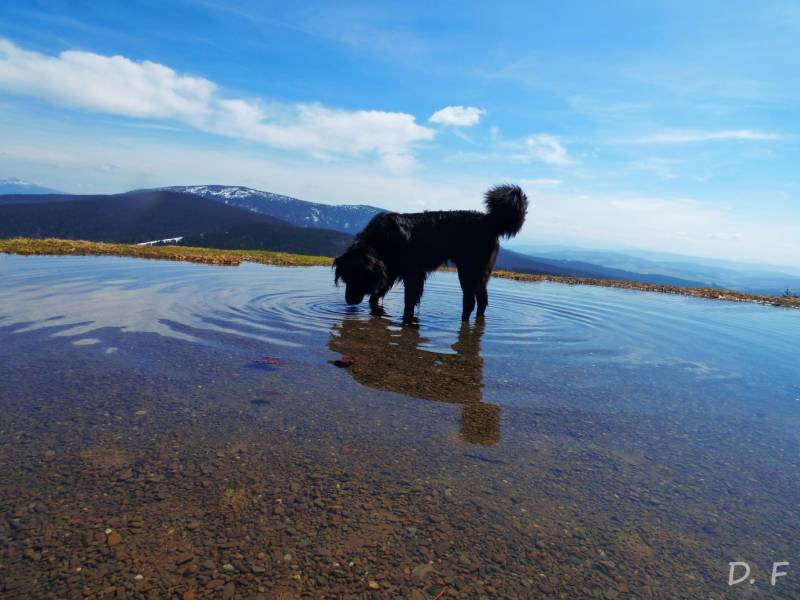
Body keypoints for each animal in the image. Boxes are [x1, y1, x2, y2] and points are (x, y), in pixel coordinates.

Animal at [333, 184, 528, 324]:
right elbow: (376, 297)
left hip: (468, 269)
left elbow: (409, 301)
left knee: (470, 301)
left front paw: (406, 321)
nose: (349, 301)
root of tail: (489, 220)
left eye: (358, 277)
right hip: (481, 272)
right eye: (346, 278)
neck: (381, 241)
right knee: (482, 300)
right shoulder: (389, 272)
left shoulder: (413, 274)